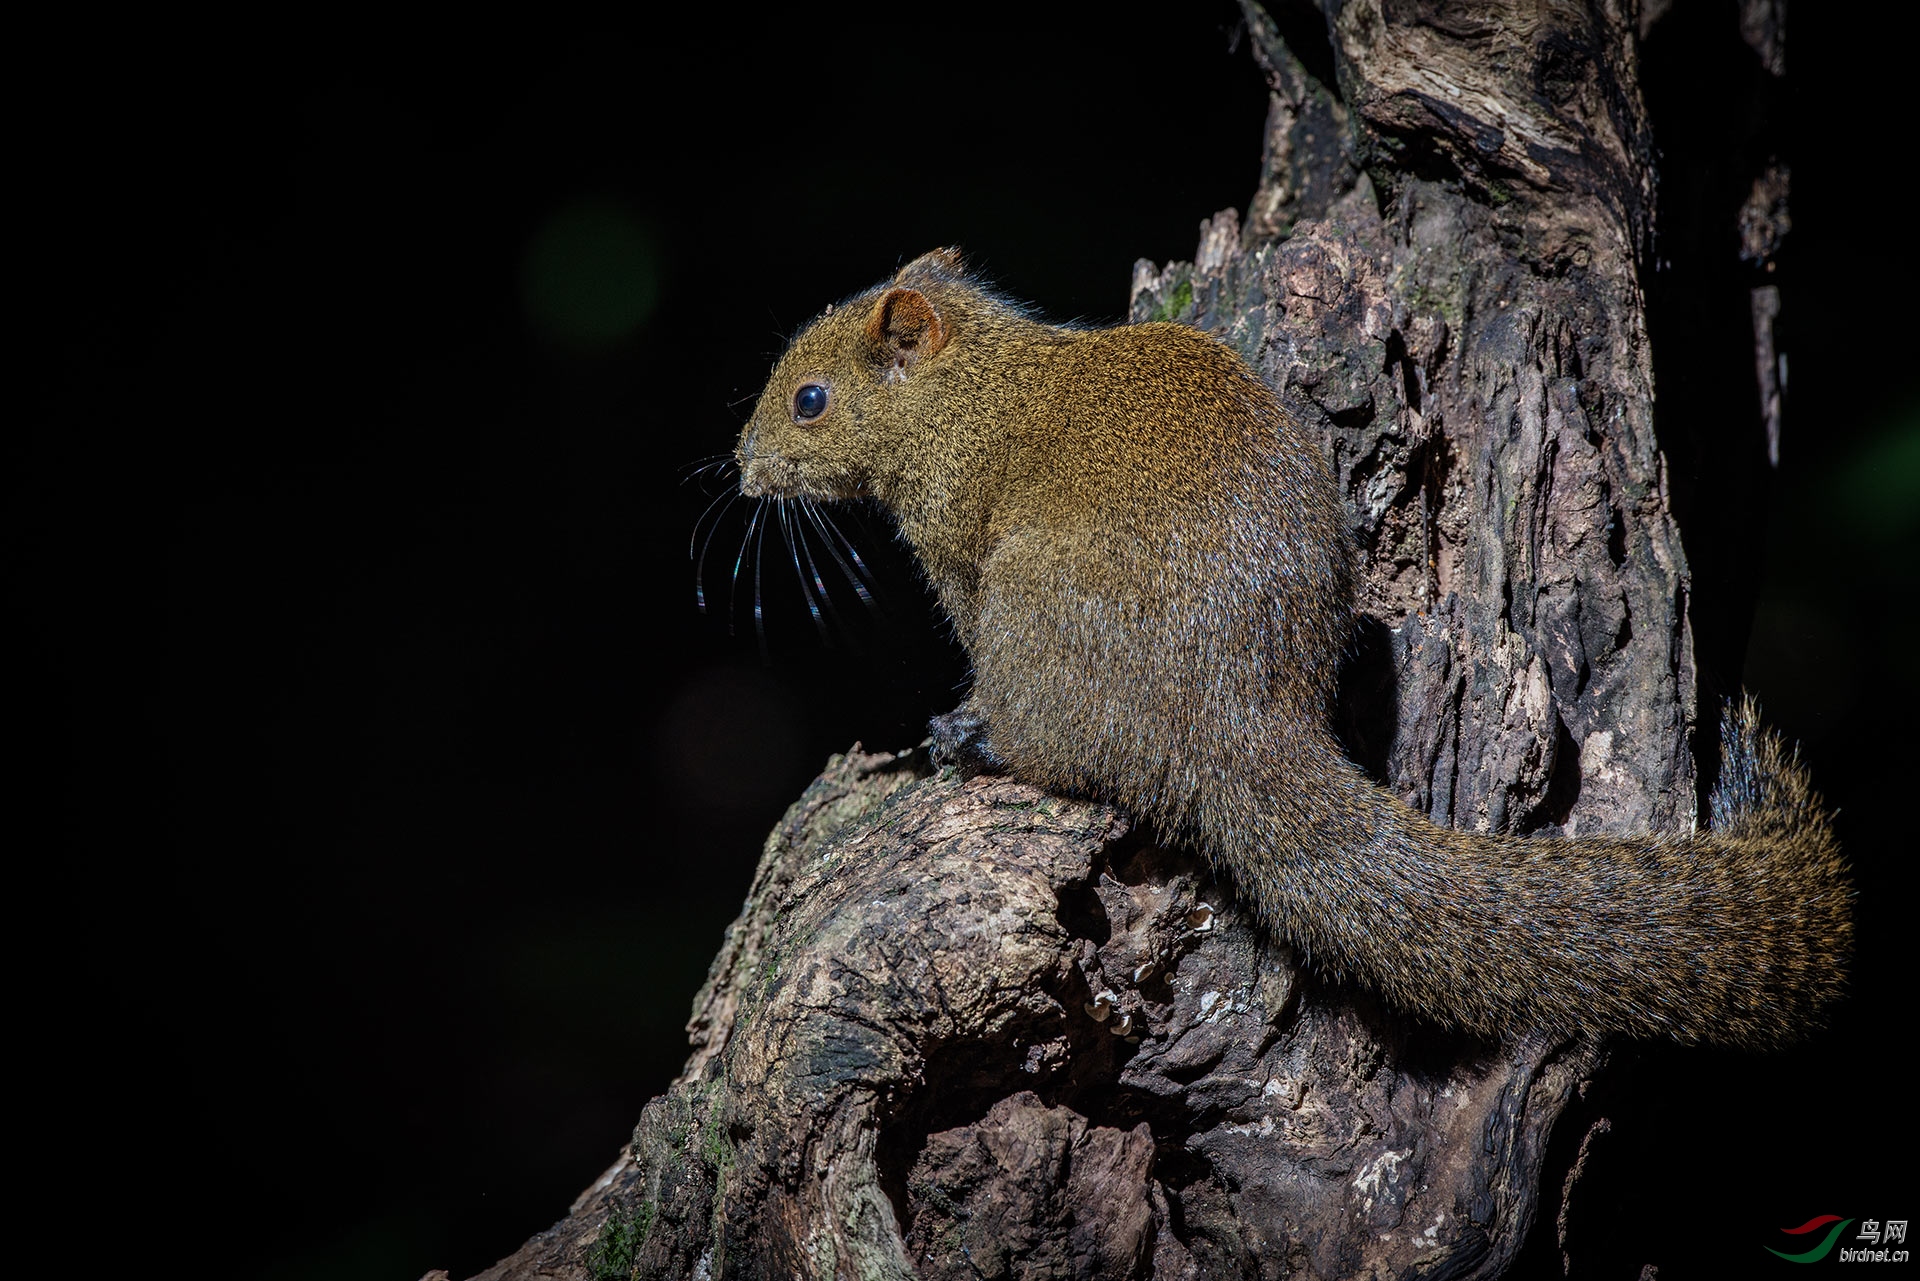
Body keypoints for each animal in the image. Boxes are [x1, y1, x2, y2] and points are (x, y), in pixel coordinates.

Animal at [729, 249, 1843, 1052]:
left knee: (1060, 751)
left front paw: (953, 720)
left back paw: (979, 742)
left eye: (811, 399)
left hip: (1030, 618)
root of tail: (1239, 720)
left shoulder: (959, 548)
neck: (973, 390)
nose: (741, 468)